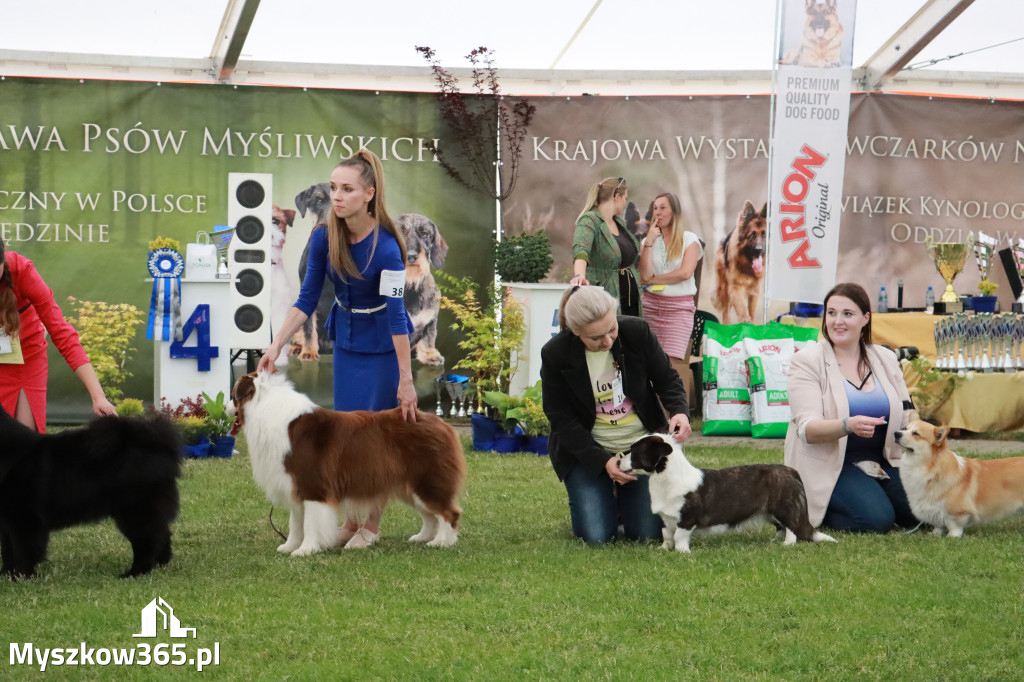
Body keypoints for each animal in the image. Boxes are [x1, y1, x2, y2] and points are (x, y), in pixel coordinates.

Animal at [0, 405, 182, 577]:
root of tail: (157, 444)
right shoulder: (8, 520)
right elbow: (8, 551)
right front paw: (7, 574)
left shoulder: (24, 519)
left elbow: (23, 551)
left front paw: (22, 575)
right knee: (162, 534)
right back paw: (160, 564)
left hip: (135, 511)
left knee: (148, 541)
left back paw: (135, 572)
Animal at [614, 436, 831, 552]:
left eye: (634, 451)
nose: (616, 462)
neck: (666, 478)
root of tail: (791, 471)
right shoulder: (667, 519)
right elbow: (666, 534)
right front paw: (664, 549)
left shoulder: (686, 519)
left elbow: (679, 536)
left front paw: (682, 552)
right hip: (769, 512)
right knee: (781, 527)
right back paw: (774, 541)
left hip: (783, 508)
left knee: (792, 527)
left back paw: (787, 544)